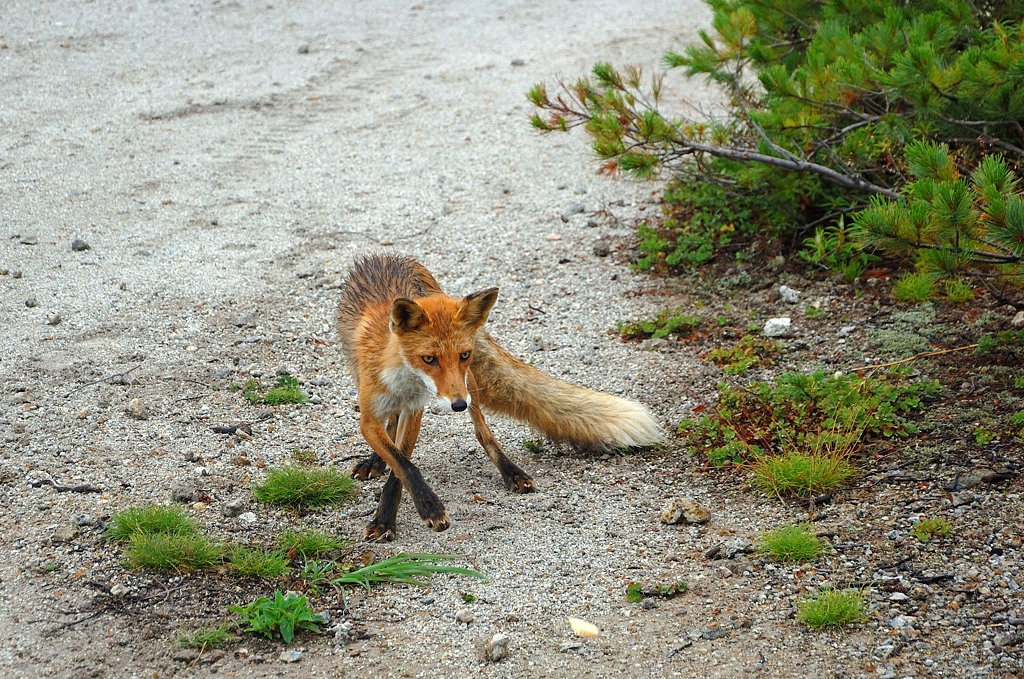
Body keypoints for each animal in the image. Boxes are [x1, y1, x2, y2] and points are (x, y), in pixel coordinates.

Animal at [331, 255, 659, 540]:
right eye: (429, 359)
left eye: (463, 355)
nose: (458, 405)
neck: (402, 379)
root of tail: (388, 257)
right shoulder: (369, 416)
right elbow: (402, 463)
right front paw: (409, 510)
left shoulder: (416, 409)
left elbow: (401, 469)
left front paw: (397, 515)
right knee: (391, 428)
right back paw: (375, 460)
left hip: (471, 385)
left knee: (483, 432)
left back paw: (511, 472)